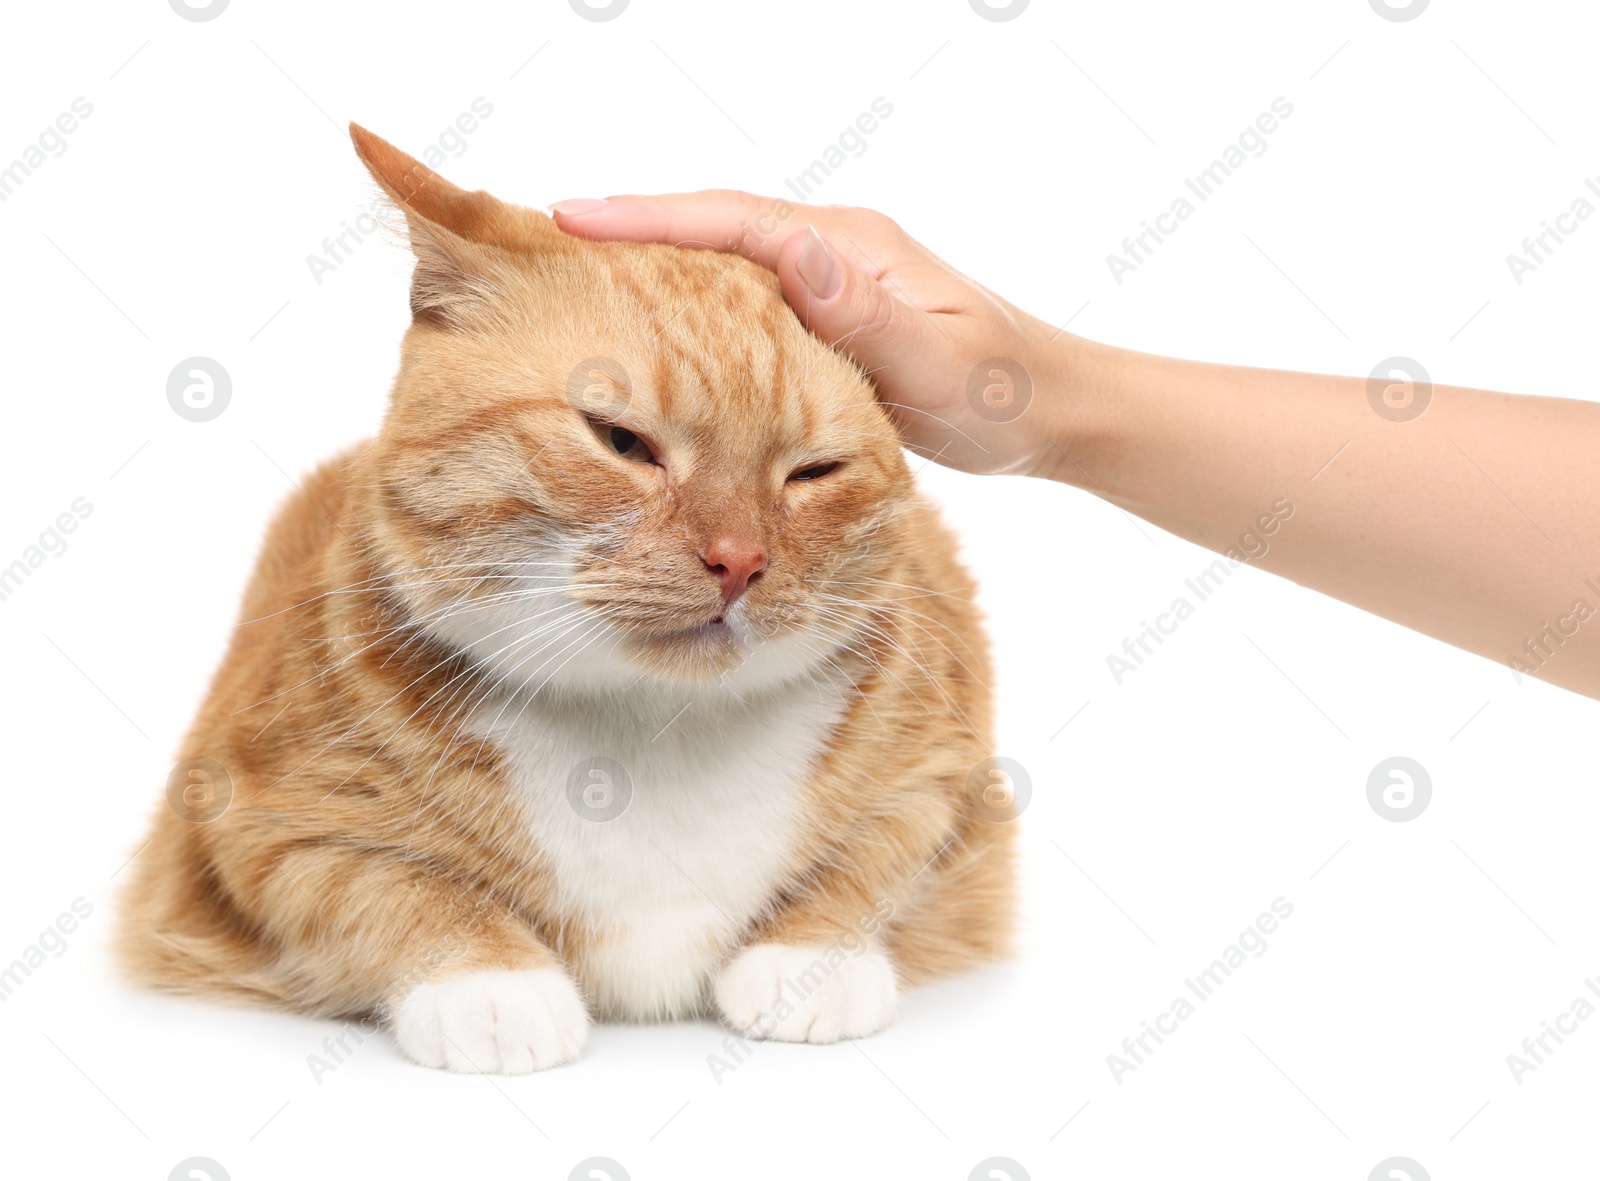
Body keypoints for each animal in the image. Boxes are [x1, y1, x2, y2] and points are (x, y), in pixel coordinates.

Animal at [116, 126, 1011, 1068]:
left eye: (814, 471)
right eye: (622, 441)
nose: (738, 561)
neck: (655, 731)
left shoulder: (949, 782)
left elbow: (877, 857)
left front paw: (807, 959)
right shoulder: (243, 823)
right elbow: (384, 881)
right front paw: (489, 983)